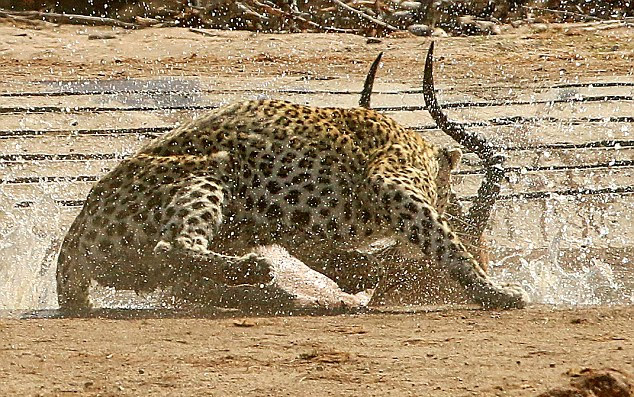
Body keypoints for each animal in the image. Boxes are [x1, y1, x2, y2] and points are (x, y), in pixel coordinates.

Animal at [55, 68, 528, 316]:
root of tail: (69, 244)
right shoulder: (391, 189)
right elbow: (446, 244)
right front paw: (496, 292)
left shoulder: (303, 235)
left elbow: (339, 260)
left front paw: (367, 273)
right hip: (210, 171)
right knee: (174, 244)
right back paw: (258, 271)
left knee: (188, 271)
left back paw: (295, 295)